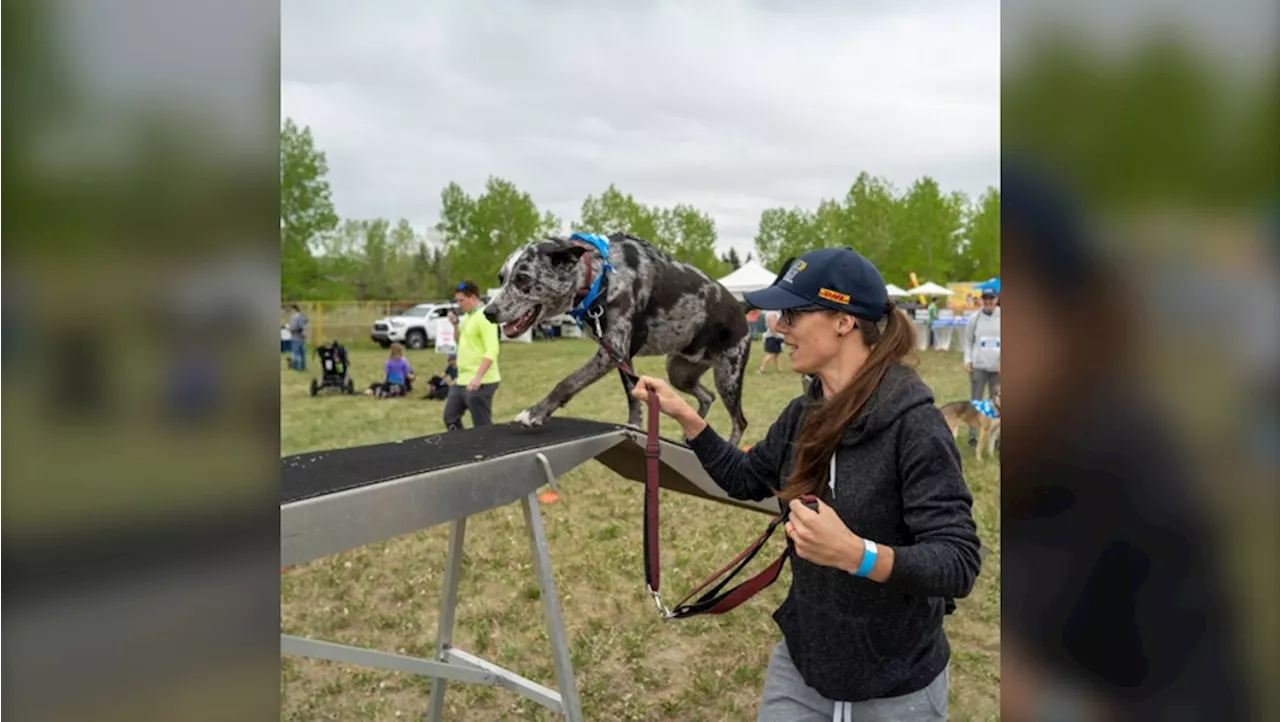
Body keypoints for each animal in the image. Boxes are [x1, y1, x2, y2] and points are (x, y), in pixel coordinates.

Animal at [483, 234, 752, 442]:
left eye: (523, 278)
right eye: (501, 279)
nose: (488, 312)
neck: (600, 275)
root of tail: (741, 308)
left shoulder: (610, 352)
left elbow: (568, 382)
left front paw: (535, 413)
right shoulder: (620, 355)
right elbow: (633, 394)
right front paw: (635, 425)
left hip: (728, 376)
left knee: (739, 421)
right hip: (679, 373)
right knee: (707, 396)